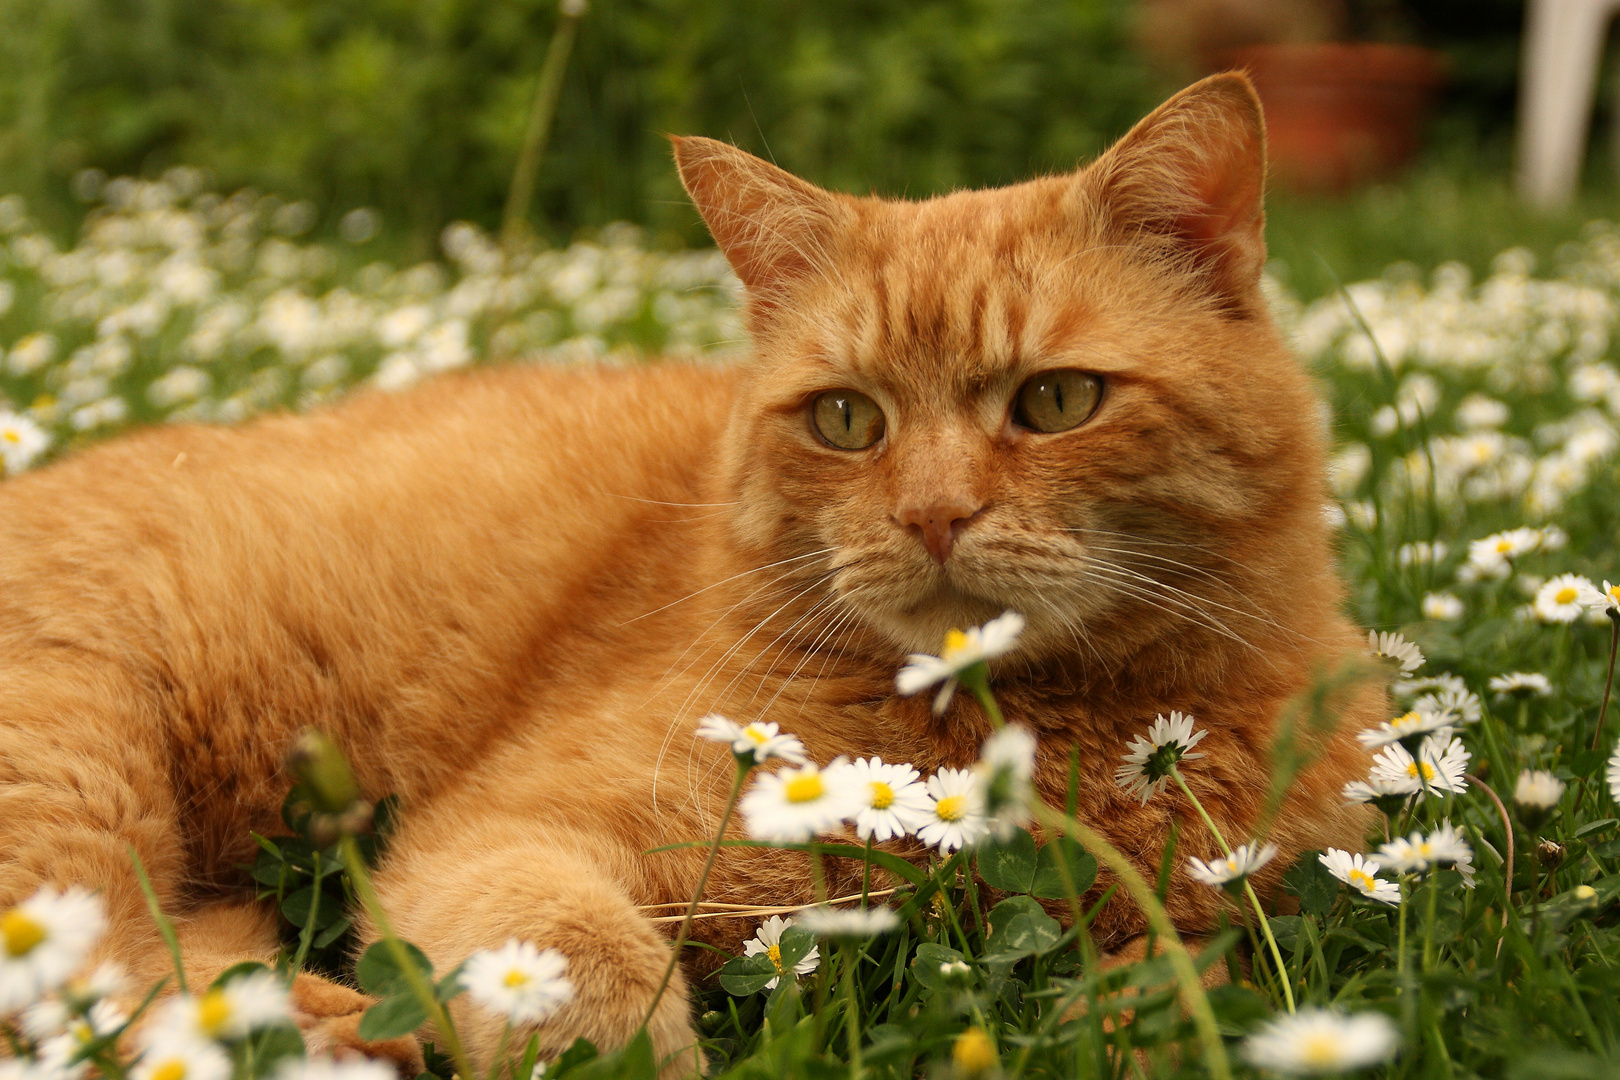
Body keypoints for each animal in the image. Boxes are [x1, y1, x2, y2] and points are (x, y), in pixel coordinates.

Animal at [0, 74, 1373, 1075]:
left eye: (1057, 402)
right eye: (847, 421)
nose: (933, 514)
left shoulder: (1225, 925)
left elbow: (1174, 1005)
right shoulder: (510, 839)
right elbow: (587, 973)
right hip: (73, 775)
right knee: (110, 986)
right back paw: (332, 1033)